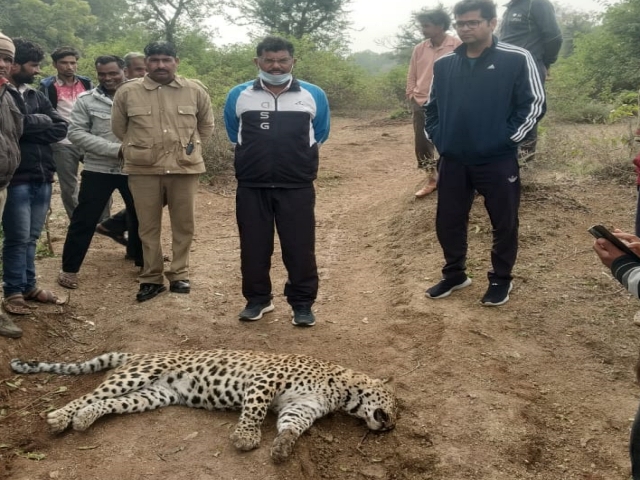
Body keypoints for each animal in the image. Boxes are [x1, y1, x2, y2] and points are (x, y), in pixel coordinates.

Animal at [10, 348, 398, 462]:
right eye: (396, 406)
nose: (392, 425)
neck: (342, 391)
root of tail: (138, 352)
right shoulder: (267, 379)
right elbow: (255, 410)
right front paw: (246, 438)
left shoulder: (301, 408)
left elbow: (292, 427)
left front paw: (283, 447)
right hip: (137, 375)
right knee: (90, 395)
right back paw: (59, 417)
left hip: (151, 395)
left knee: (108, 403)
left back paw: (83, 420)